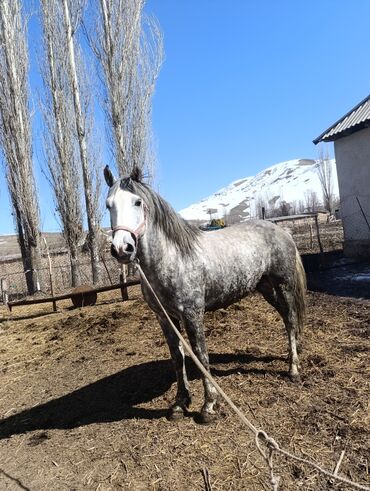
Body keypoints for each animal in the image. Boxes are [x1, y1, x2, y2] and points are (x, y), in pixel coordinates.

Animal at [104, 167, 306, 424]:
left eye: (137, 202)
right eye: (108, 205)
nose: (122, 248)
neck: (172, 258)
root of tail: (283, 231)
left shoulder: (192, 314)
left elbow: (200, 355)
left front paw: (208, 406)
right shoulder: (165, 317)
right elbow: (177, 357)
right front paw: (179, 404)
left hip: (283, 285)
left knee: (289, 319)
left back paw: (293, 369)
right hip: (266, 288)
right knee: (288, 318)